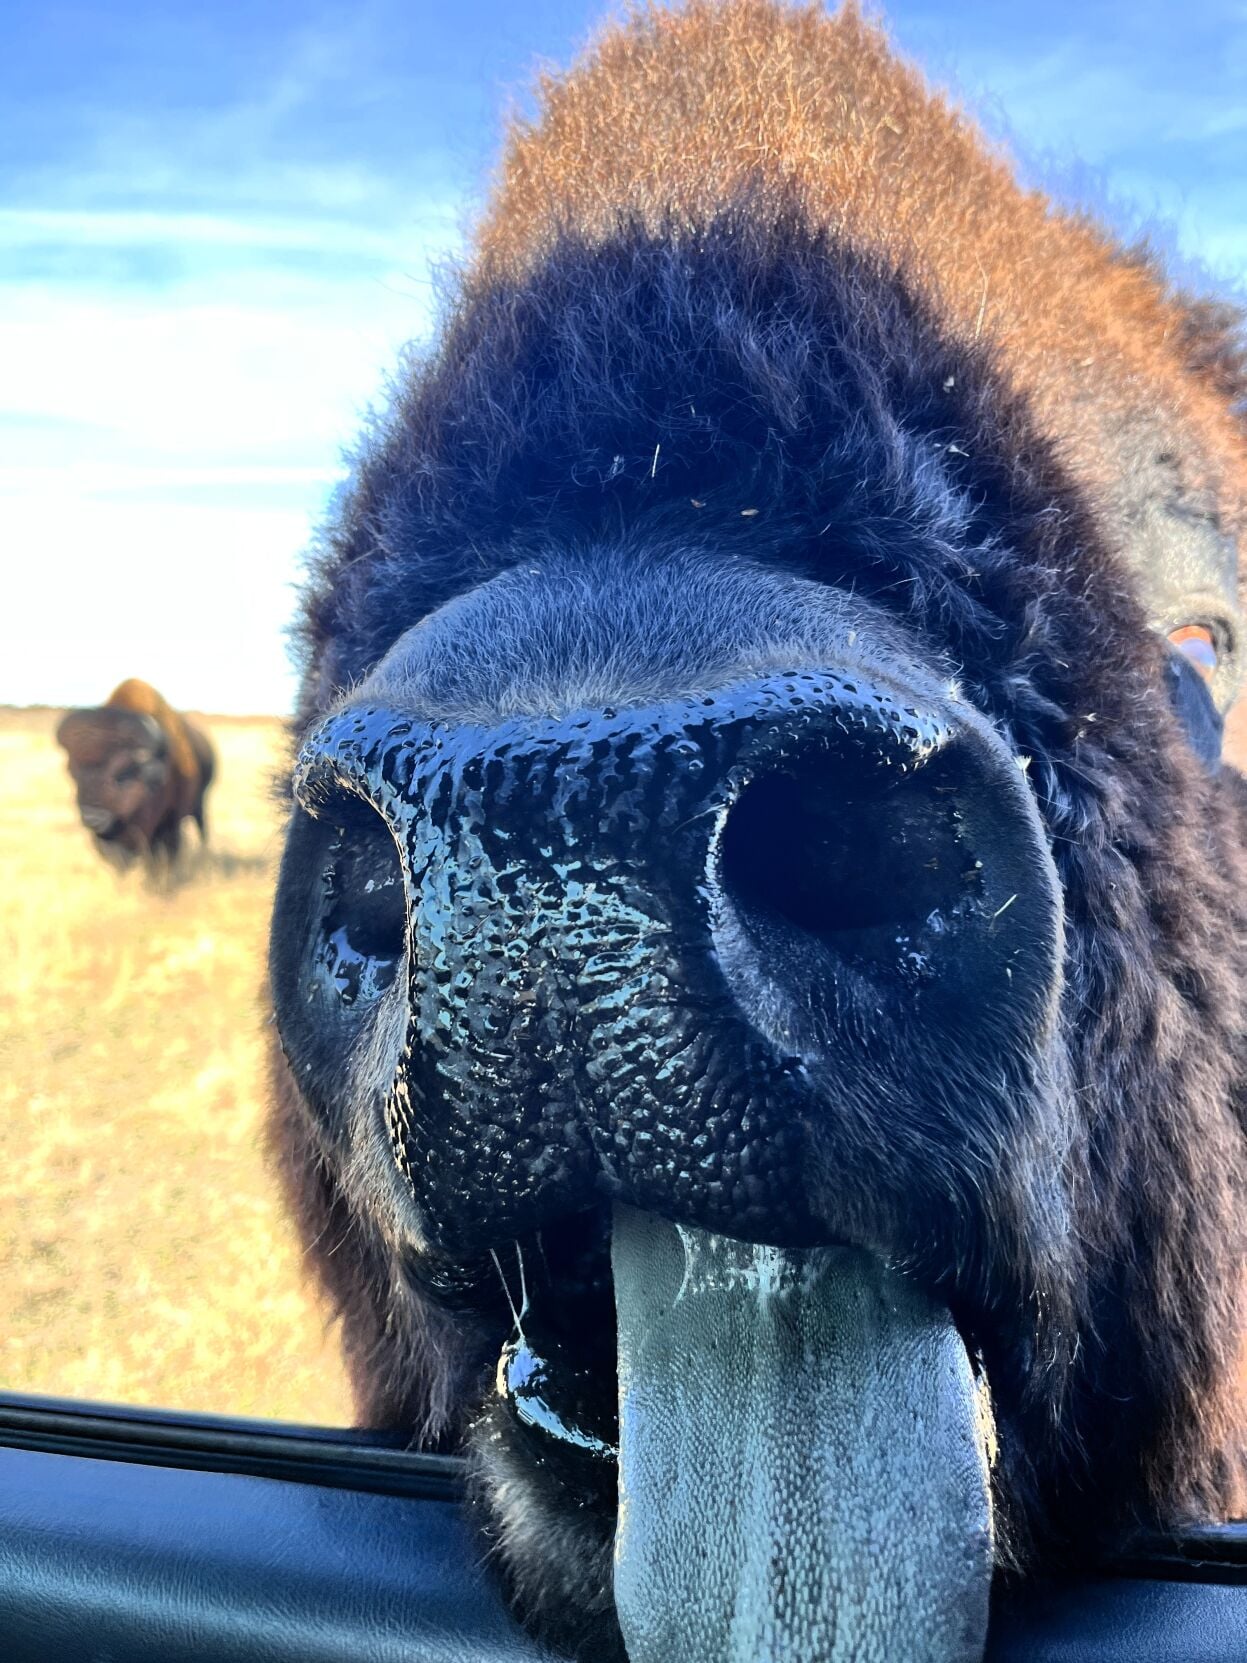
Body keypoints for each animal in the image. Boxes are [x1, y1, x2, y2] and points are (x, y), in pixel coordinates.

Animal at [57, 678, 214, 867]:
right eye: (73, 772)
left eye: (123, 774)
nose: (93, 818)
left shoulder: (171, 826)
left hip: (200, 804)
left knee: (202, 829)